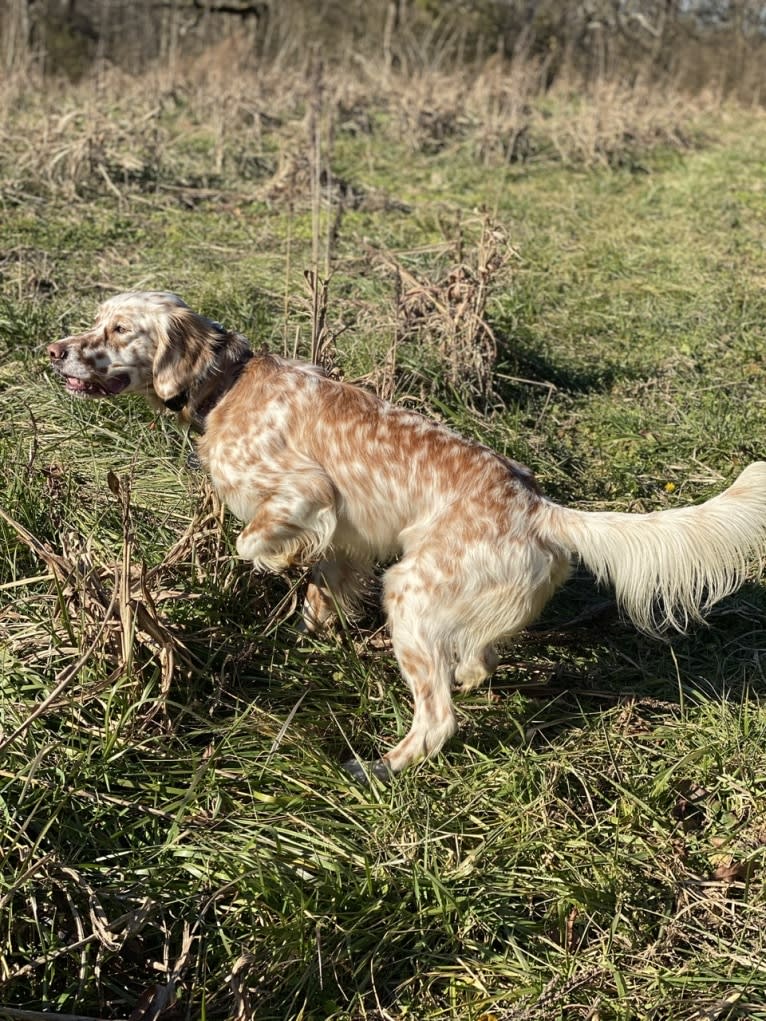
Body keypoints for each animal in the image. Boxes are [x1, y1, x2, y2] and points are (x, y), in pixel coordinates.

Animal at [46, 292, 766, 775]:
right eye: (96, 321)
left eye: (119, 329)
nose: (54, 350)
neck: (227, 384)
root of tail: (538, 507)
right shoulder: (345, 542)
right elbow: (323, 584)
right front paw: (314, 619)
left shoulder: (307, 490)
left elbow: (255, 541)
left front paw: (279, 559)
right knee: (478, 659)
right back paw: (468, 670)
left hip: (411, 597)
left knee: (439, 716)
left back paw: (382, 765)